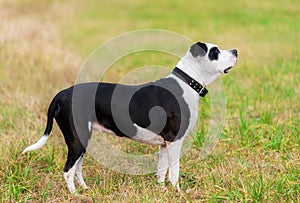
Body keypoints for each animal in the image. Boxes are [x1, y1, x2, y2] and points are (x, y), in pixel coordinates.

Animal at [22, 42, 238, 193]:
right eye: (215, 52)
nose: (236, 51)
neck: (187, 82)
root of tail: (61, 95)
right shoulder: (175, 141)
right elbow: (174, 172)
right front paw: (178, 193)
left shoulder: (165, 144)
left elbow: (162, 171)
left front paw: (161, 191)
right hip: (77, 140)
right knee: (68, 170)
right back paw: (75, 194)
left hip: (81, 140)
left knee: (77, 168)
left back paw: (85, 189)